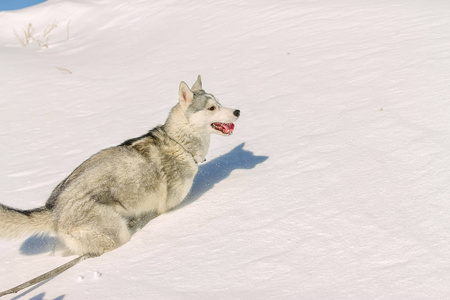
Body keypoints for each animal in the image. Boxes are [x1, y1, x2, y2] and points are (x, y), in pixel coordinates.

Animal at [0, 75, 241, 255]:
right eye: (211, 108)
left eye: (219, 103)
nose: (238, 111)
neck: (179, 143)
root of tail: (53, 207)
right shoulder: (166, 208)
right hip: (117, 233)